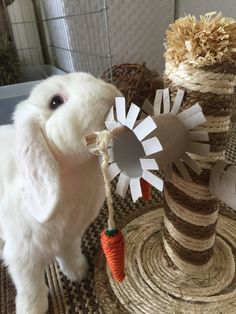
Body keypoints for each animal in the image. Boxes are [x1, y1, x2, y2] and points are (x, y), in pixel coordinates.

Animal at [0, 72, 121, 314]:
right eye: (55, 102)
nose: (110, 94)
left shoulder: (71, 236)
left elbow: (69, 255)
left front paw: (78, 272)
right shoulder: (22, 257)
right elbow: (31, 287)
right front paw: (32, 309)